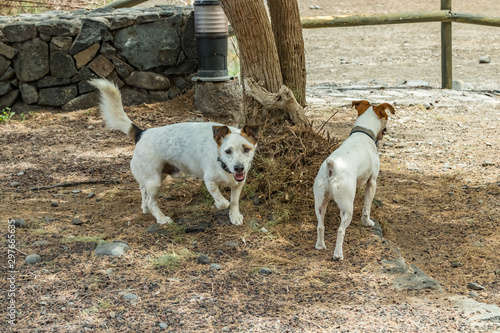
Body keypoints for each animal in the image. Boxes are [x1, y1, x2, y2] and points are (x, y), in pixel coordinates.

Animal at [90, 79, 260, 226]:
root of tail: (141, 133)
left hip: (156, 175)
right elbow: (224, 202)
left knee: (143, 190)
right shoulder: (209, 181)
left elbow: (234, 201)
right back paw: (161, 218)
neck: (223, 165)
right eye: (227, 151)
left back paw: (145, 208)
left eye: (246, 149)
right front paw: (219, 204)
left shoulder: (239, 184)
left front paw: (235, 215)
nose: (239, 168)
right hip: (154, 181)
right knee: (151, 201)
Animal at [314, 98, 396, 260]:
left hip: (320, 204)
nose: (387, 129)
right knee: (341, 230)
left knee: (320, 225)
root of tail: (331, 168)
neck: (362, 133)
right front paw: (367, 222)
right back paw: (338, 254)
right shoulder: (372, 182)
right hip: (347, 207)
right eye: (387, 117)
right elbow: (367, 206)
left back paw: (320, 246)